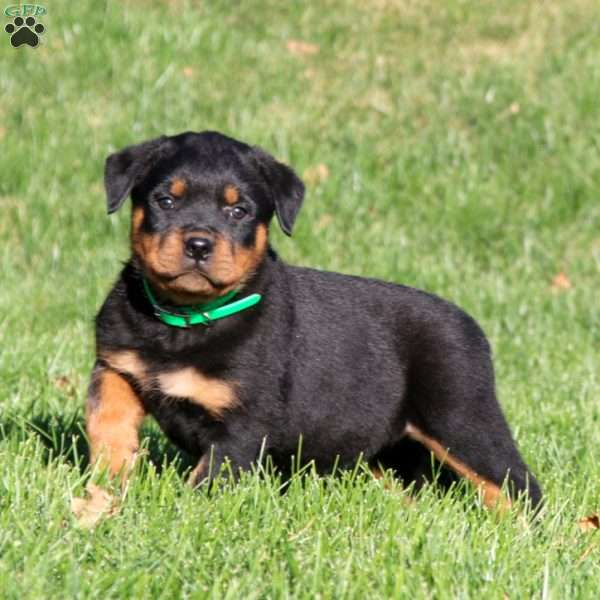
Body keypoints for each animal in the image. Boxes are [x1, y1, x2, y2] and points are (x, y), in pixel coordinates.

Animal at [89, 129, 544, 508]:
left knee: (515, 484)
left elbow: (211, 476)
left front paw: (189, 514)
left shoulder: (244, 420)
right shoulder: (116, 363)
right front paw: (109, 478)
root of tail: (472, 326)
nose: (198, 244)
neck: (184, 319)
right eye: (165, 201)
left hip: (460, 415)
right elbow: (105, 416)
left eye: (238, 211)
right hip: (393, 448)